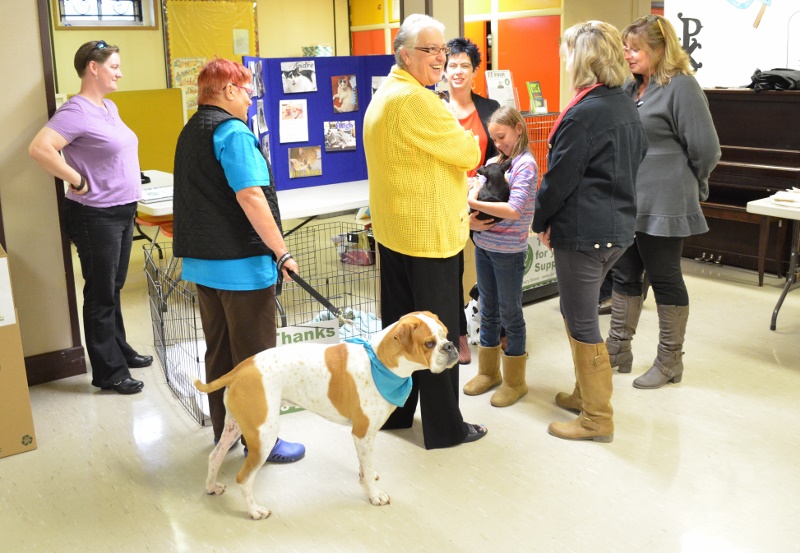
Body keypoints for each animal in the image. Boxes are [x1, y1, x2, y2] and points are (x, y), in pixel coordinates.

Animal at [194, 310, 456, 516]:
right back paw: (254, 510)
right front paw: (374, 494)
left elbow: (365, 464)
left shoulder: (365, 436)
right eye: (429, 343)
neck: (380, 363)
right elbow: (367, 469)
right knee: (243, 478)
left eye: (445, 334)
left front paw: (366, 475)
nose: (450, 346)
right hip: (263, 438)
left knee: (214, 457)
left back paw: (211, 487)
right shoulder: (362, 433)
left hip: (235, 427)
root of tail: (240, 369)